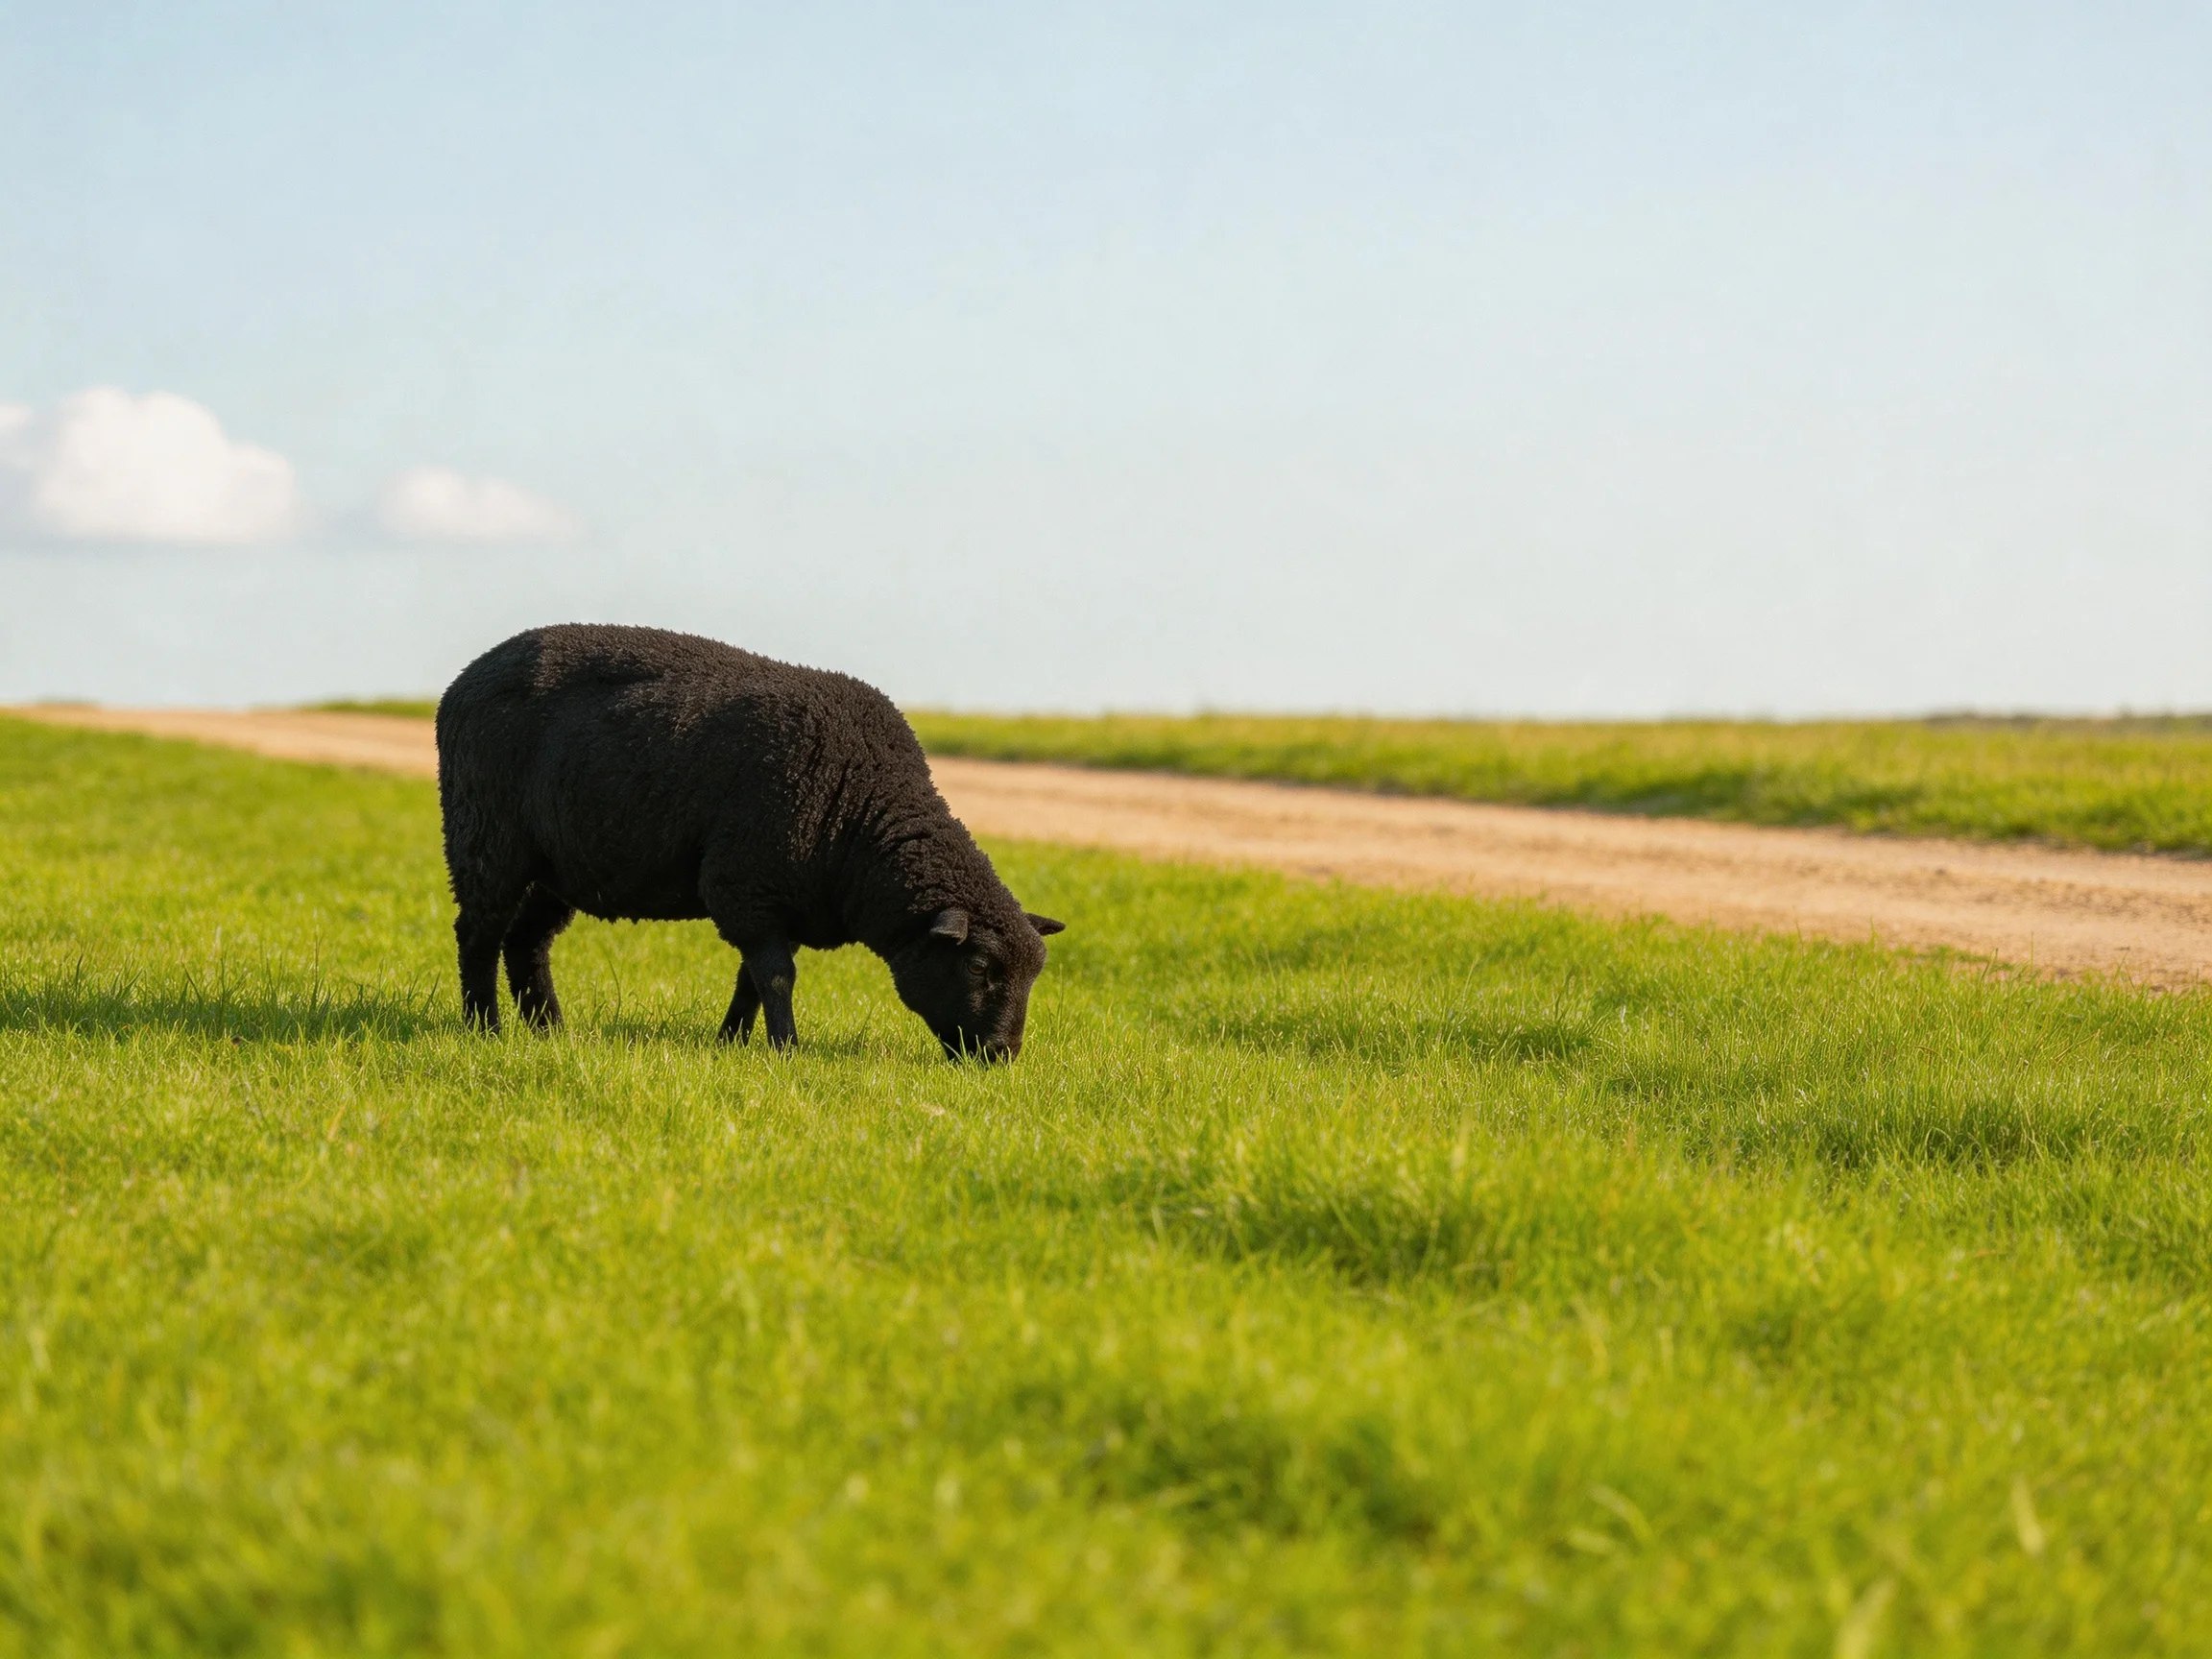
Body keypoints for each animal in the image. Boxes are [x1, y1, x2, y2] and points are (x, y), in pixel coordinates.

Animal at [435, 624, 1063, 1059]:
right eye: (979, 968)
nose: (1001, 1056)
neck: (860, 812)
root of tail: (462, 682)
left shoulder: (779, 899)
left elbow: (753, 980)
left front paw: (732, 1043)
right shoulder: (745, 885)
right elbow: (776, 977)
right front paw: (786, 1050)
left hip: (558, 864)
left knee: (527, 943)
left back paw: (550, 1032)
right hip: (485, 836)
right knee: (479, 934)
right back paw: (484, 1028)